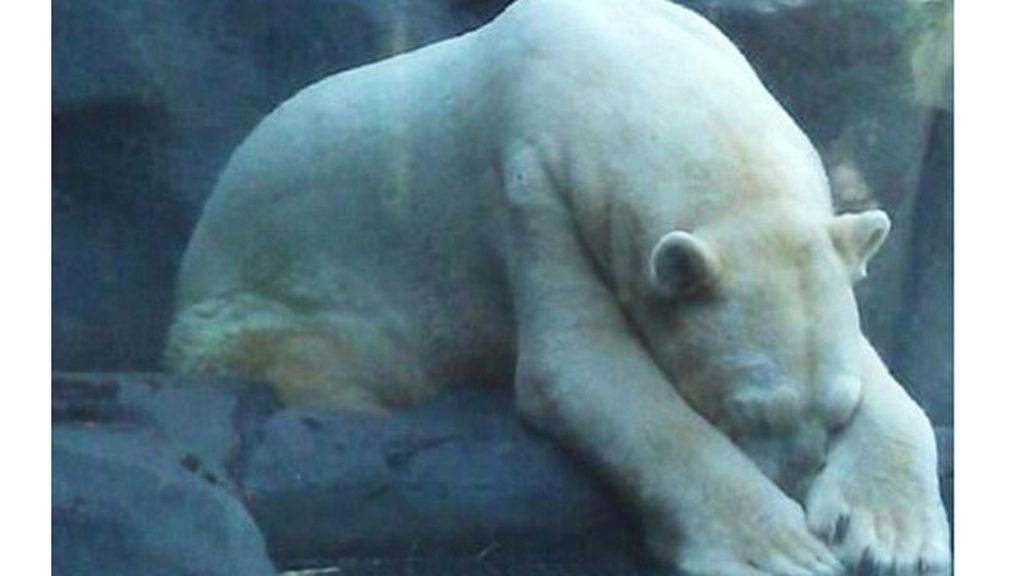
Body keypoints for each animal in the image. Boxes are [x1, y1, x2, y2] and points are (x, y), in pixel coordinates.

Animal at [165, 0, 951, 574]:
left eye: (836, 409)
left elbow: (877, 365)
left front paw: (888, 531)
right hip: (270, 308)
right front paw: (782, 551)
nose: (796, 480)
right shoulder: (531, 183)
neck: (625, 58)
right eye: (746, 411)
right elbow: (582, 367)